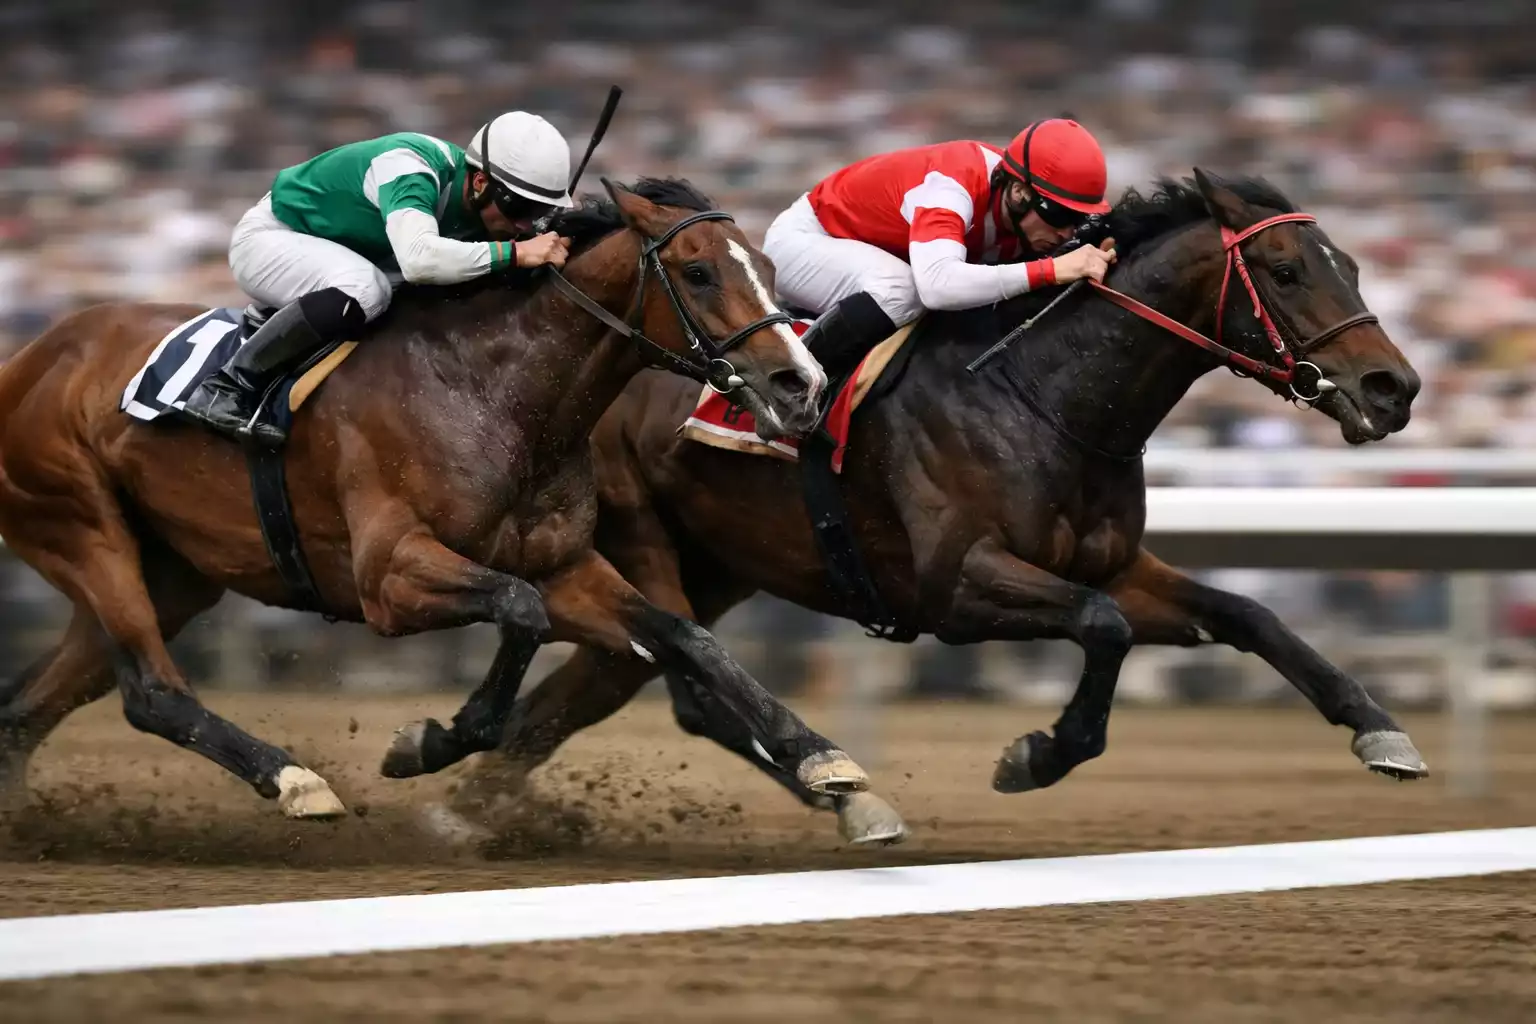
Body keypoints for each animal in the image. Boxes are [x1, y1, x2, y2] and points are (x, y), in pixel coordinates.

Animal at [0, 177, 880, 823]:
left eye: (768, 268)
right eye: (699, 271)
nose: (802, 384)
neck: (497, 394)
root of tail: (31, 352)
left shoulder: (565, 565)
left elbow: (683, 637)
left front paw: (823, 757)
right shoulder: (389, 577)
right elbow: (520, 611)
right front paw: (426, 740)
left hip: (174, 568)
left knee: (39, 702)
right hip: (83, 528)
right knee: (151, 691)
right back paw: (294, 781)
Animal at [429, 170, 1429, 846]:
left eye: (1349, 262)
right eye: (1285, 268)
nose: (1395, 388)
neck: (1045, 396)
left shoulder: (1113, 564)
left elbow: (1249, 614)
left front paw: (1381, 730)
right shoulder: (955, 586)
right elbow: (1101, 628)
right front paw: (1036, 755)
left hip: (711, 565)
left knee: (604, 683)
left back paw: (466, 806)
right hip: (640, 538)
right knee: (686, 684)